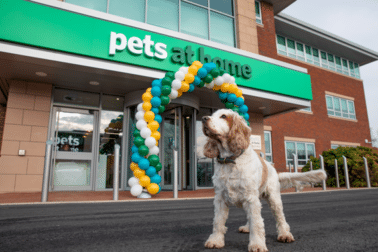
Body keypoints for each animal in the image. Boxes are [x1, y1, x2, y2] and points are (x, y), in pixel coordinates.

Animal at [202, 109, 326, 252]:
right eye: (212, 114)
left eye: (223, 116)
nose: (204, 118)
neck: (230, 160)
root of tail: (274, 170)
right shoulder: (220, 198)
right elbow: (218, 221)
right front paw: (215, 240)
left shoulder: (250, 198)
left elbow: (256, 223)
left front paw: (257, 244)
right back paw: (247, 227)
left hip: (274, 199)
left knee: (280, 218)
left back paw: (285, 234)